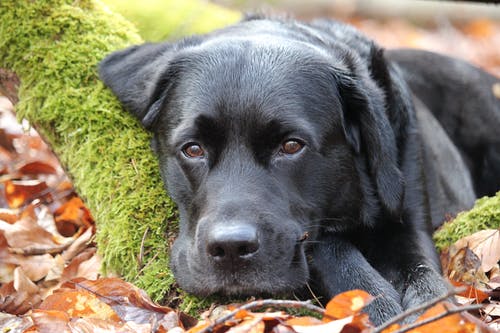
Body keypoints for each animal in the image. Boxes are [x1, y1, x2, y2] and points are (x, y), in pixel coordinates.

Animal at [98, 16, 500, 324]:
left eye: (291, 146)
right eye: (192, 149)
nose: (231, 247)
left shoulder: (407, 216)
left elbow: (427, 281)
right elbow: (335, 252)